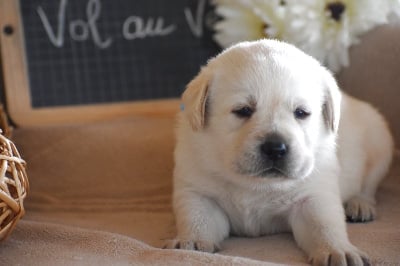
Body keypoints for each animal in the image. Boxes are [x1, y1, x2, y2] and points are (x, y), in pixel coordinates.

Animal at [164, 39, 392, 266]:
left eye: (301, 113)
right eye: (243, 110)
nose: (275, 148)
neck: (256, 184)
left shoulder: (313, 195)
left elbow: (324, 225)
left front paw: (337, 250)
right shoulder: (196, 190)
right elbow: (197, 218)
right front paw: (191, 242)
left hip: (380, 145)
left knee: (368, 185)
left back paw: (360, 205)